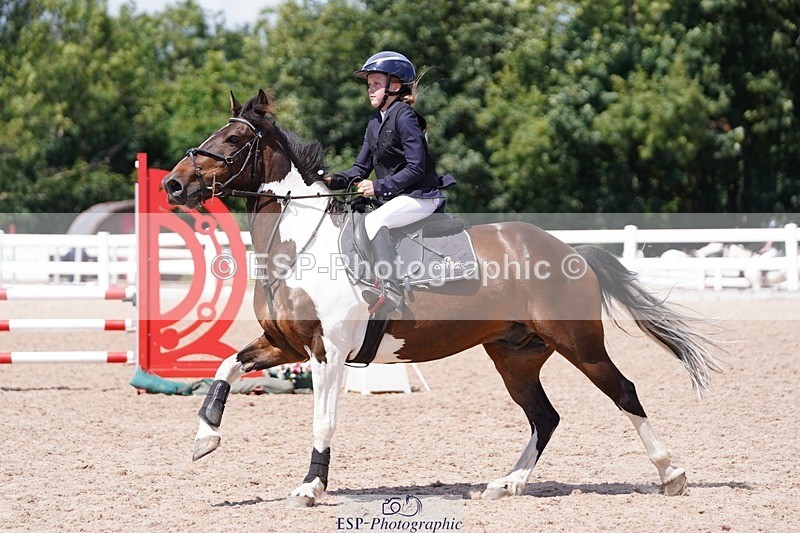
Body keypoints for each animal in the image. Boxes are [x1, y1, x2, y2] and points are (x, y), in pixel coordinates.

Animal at [162, 89, 721, 507]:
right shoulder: (285, 346)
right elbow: (226, 367)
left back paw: (671, 474)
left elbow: (324, 418)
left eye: (234, 138)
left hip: (579, 344)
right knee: (545, 417)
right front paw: (205, 437)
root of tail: (569, 250)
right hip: (514, 356)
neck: (301, 245)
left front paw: (311, 486)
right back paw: (507, 484)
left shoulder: (327, 353)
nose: (172, 185)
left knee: (623, 392)